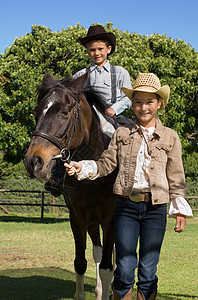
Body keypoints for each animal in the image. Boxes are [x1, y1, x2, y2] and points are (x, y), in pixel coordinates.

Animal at [23, 72, 117, 300]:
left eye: (65, 112)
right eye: (36, 112)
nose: (33, 161)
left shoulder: (111, 219)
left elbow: (108, 267)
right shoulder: (78, 218)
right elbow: (81, 263)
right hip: (92, 222)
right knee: (98, 252)